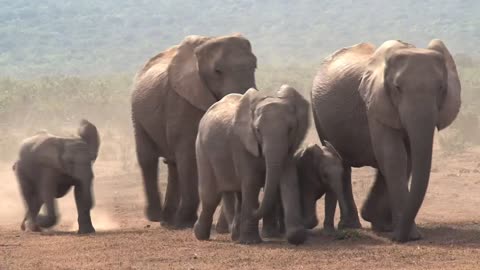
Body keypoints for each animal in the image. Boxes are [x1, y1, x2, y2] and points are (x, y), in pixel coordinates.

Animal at [131, 33, 256, 228]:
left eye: (255, 66)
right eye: (217, 71)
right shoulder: (182, 99)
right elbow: (189, 154)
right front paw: (185, 223)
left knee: (172, 163)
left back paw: (168, 220)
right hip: (137, 114)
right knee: (147, 158)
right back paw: (157, 217)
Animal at [194, 85, 310, 246]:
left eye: (290, 129)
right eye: (258, 130)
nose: (256, 208)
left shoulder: (289, 146)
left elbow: (289, 179)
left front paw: (296, 237)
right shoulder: (242, 144)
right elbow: (251, 182)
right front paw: (251, 241)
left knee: (236, 194)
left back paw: (235, 235)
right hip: (202, 150)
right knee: (211, 195)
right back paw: (200, 235)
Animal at [312, 38, 462, 243]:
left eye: (441, 88)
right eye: (397, 88)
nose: (397, 238)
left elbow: (407, 158)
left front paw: (384, 225)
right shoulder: (375, 103)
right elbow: (393, 155)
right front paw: (407, 234)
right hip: (317, 112)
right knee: (342, 163)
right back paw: (351, 225)